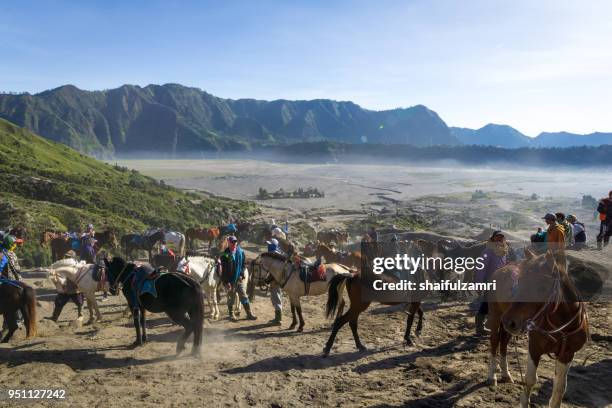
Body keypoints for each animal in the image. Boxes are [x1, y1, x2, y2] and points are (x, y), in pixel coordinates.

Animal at [488, 249, 588, 408]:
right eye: (520, 282)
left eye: (541, 287)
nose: (508, 320)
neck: (562, 328)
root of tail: (501, 269)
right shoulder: (534, 347)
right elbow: (530, 379)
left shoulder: (567, 354)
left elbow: (560, 388)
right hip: (496, 317)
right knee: (494, 342)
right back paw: (492, 376)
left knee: (503, 344)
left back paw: (506, 374)